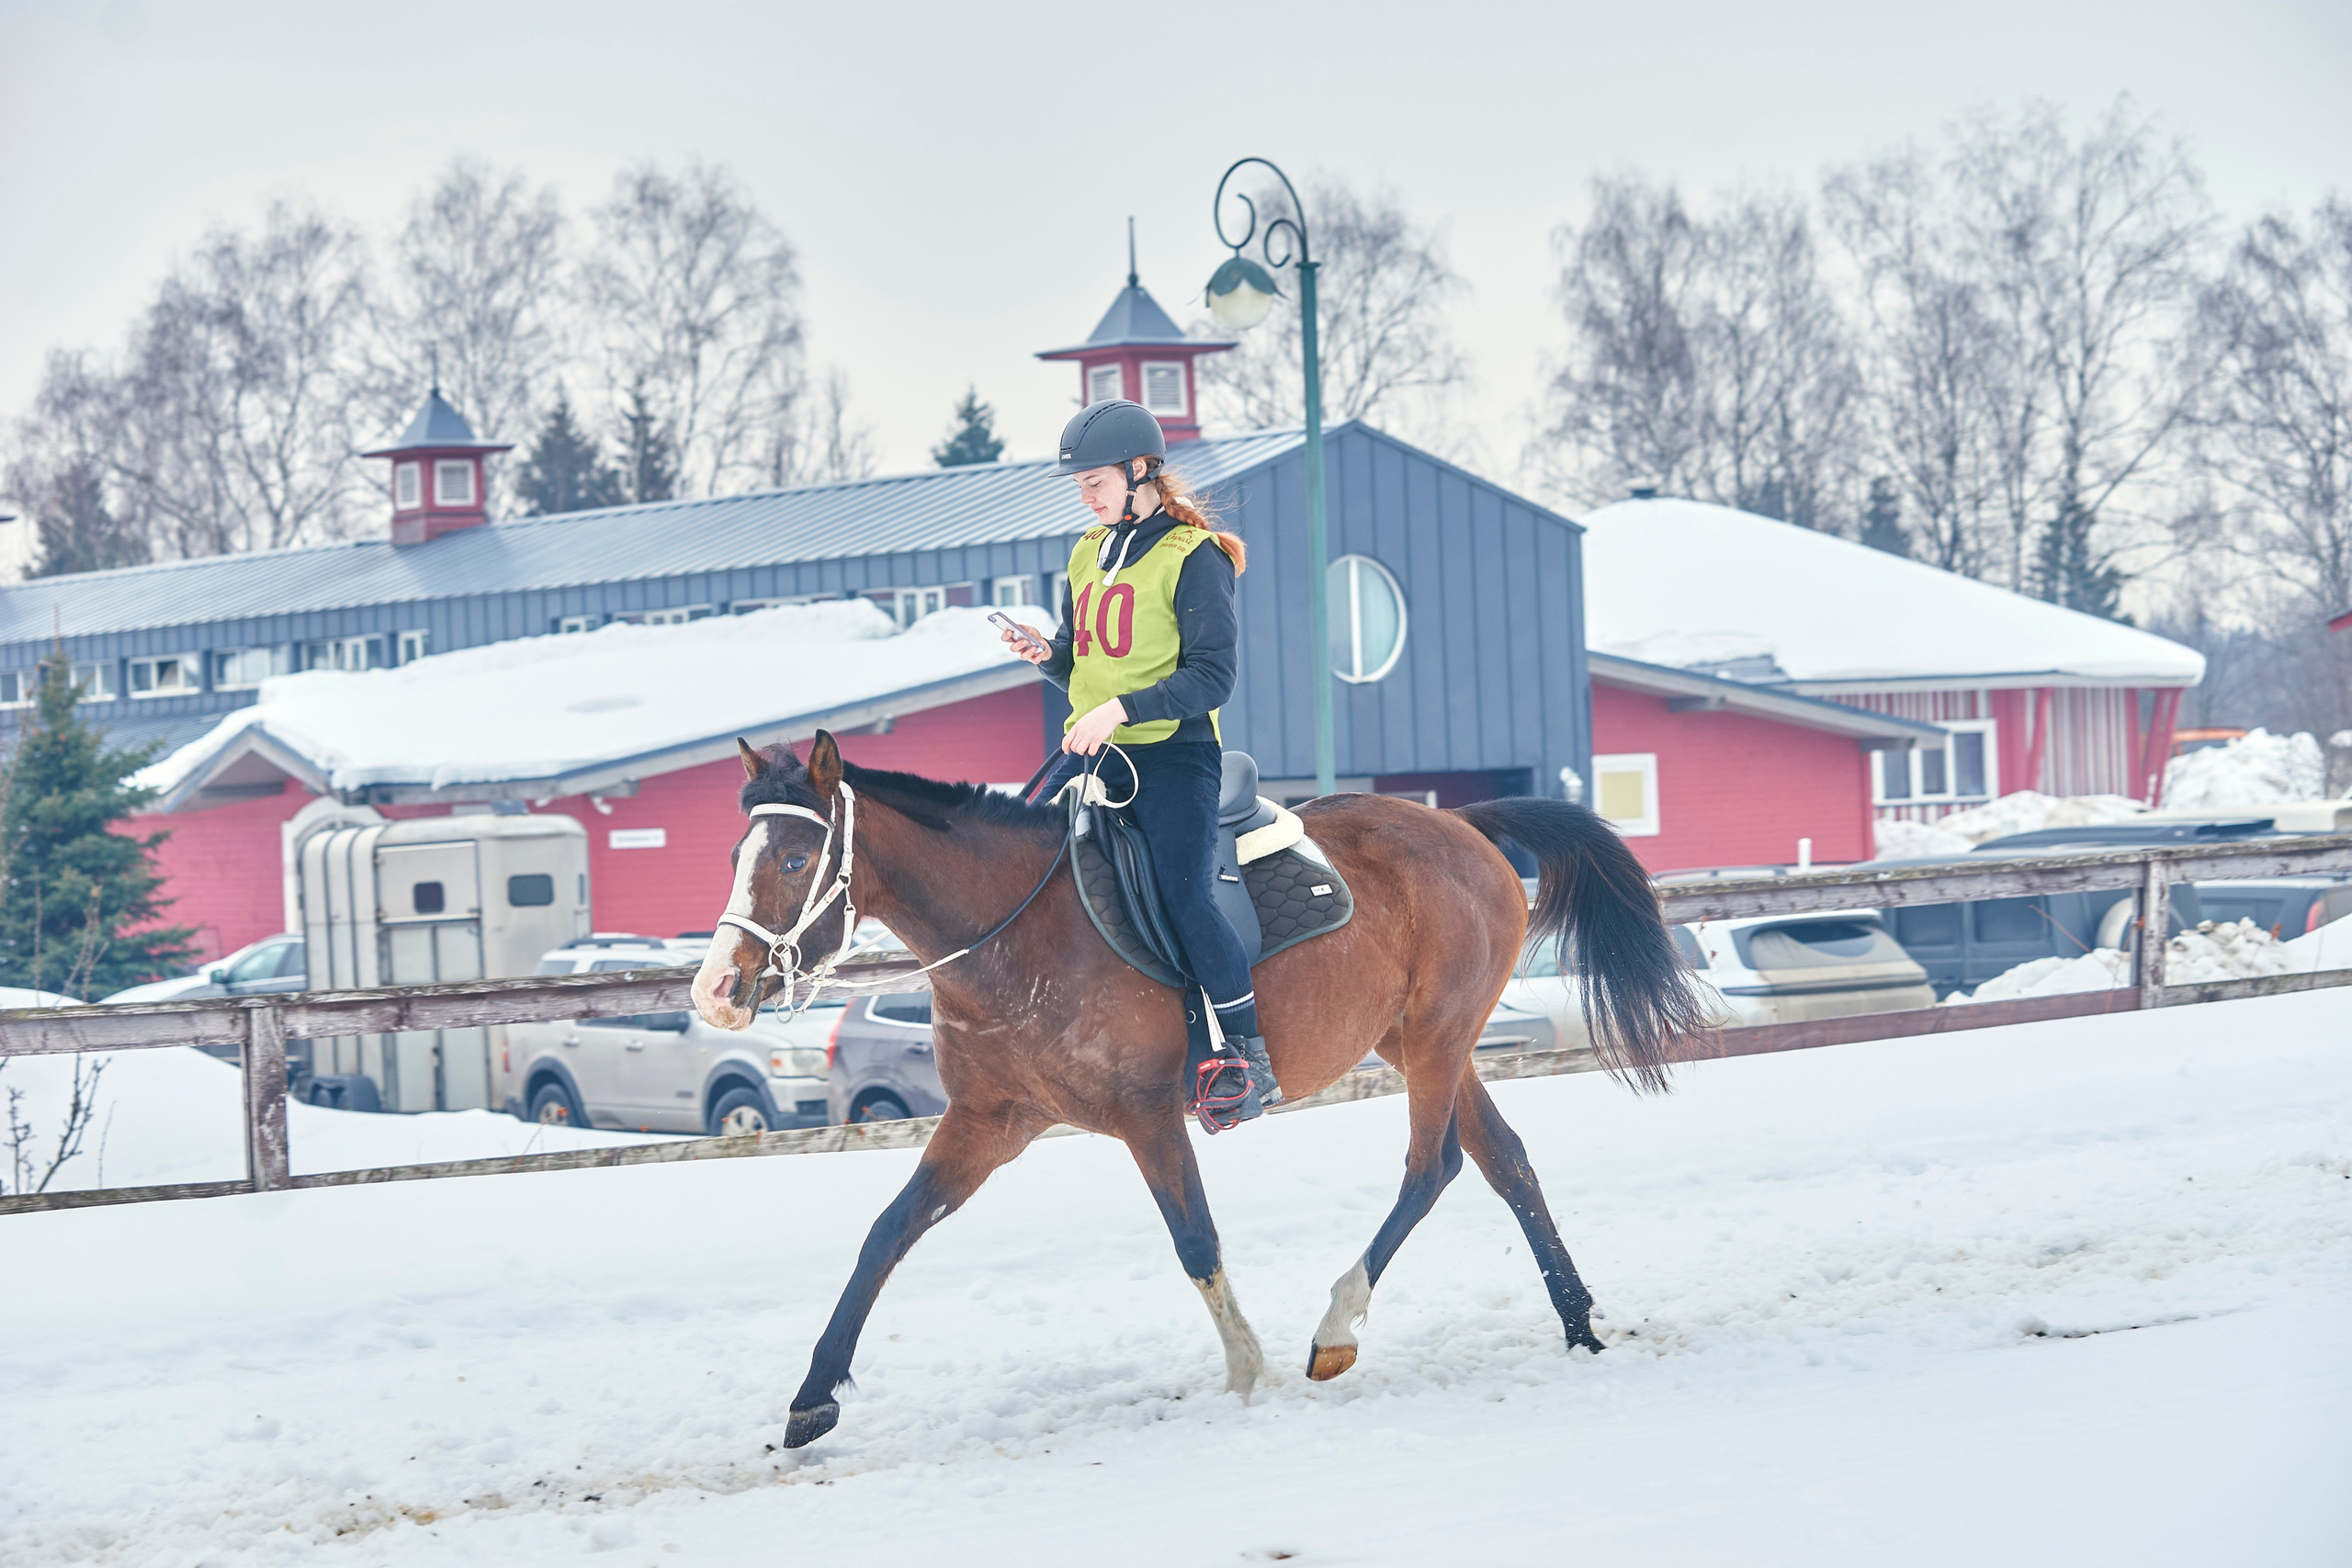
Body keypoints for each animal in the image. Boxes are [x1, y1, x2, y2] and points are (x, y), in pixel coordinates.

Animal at [693, 731, 1707, 1449]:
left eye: (794, 860)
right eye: (735, 854)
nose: (715, 990)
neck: (1016, 930)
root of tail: (1463, 823)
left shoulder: (1146, 1117)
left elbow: (1195, 1240)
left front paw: (1247, 1370)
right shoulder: (989, 1121)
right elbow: (886, 1234)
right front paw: (811, 1398)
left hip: (1434, 1039)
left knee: (1433, 1166)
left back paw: (1336, 1325)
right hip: (1426, 1042)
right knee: (1505, 1163)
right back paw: (1577, 1324)